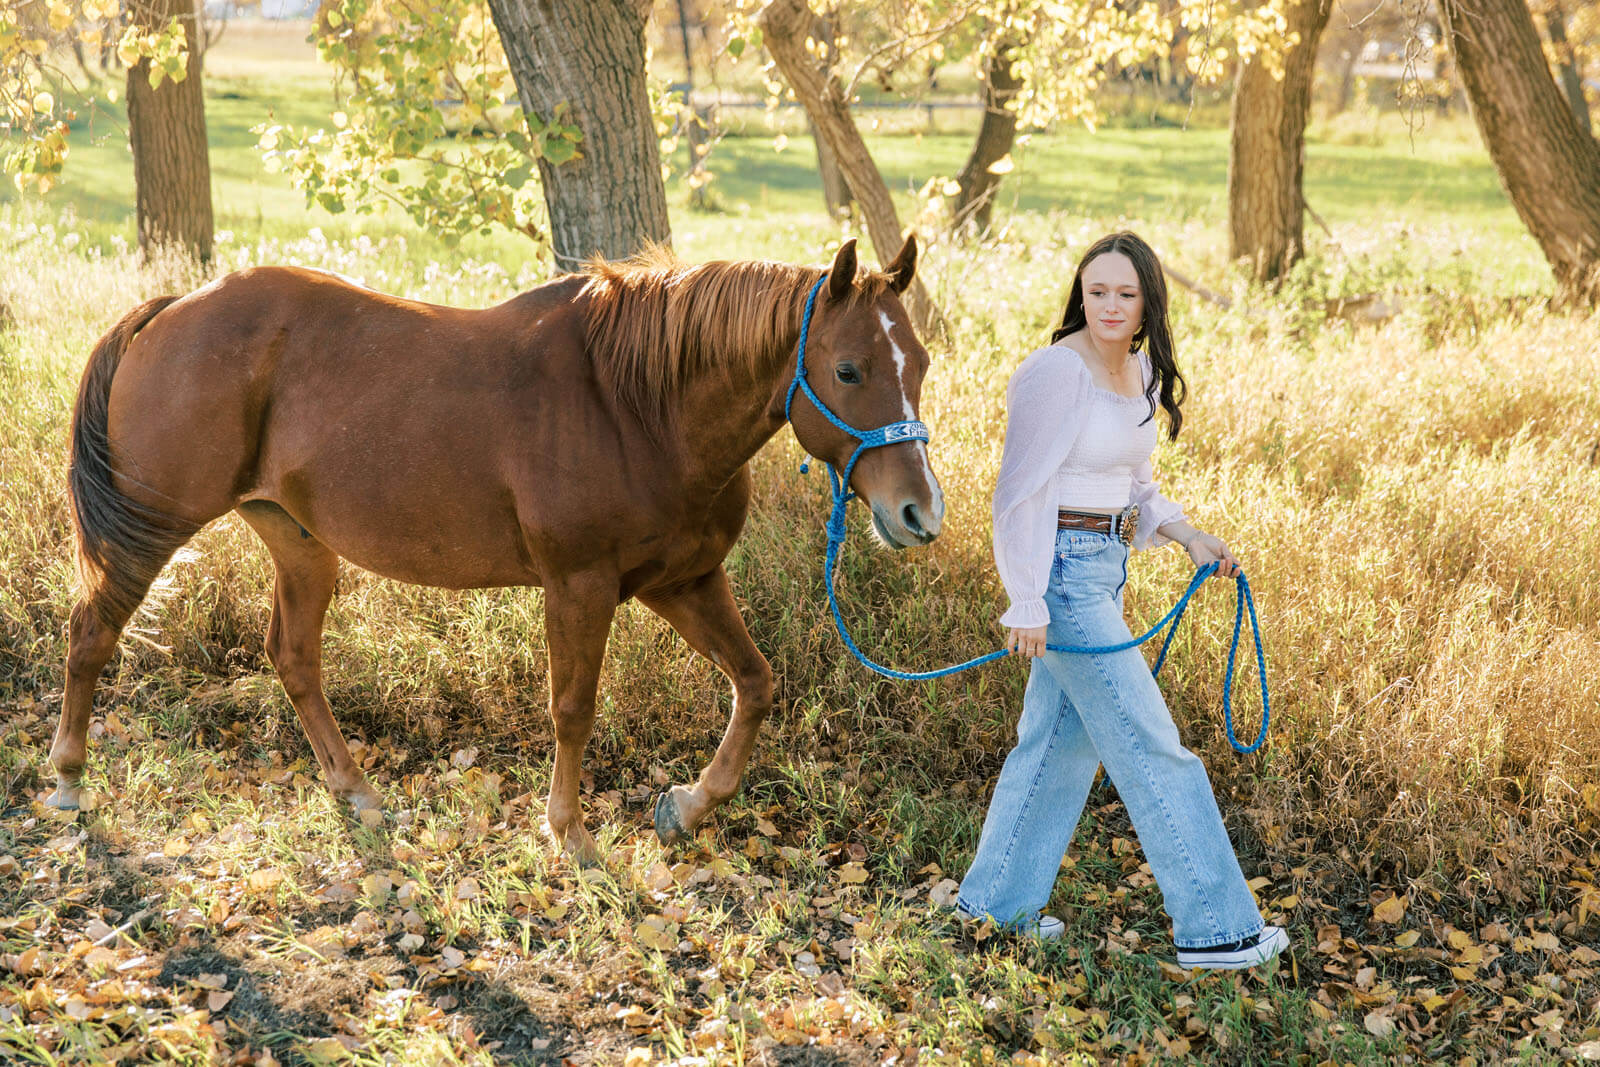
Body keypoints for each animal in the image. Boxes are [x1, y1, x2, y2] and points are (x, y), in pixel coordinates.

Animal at [49, 235, 944, 862]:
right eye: (849, 368)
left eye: (922, 362)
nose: (918, 512)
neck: (638, 405)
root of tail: (173, 309)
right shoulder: (579, 585)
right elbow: (573, 710)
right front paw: (570, 834)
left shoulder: (685, 580)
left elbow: (755, 684)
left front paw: (686, 807)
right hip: (151, 524)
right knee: (90, 633)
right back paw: (67, 780)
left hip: (300, 543)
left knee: (294, 659)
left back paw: (357, 792)